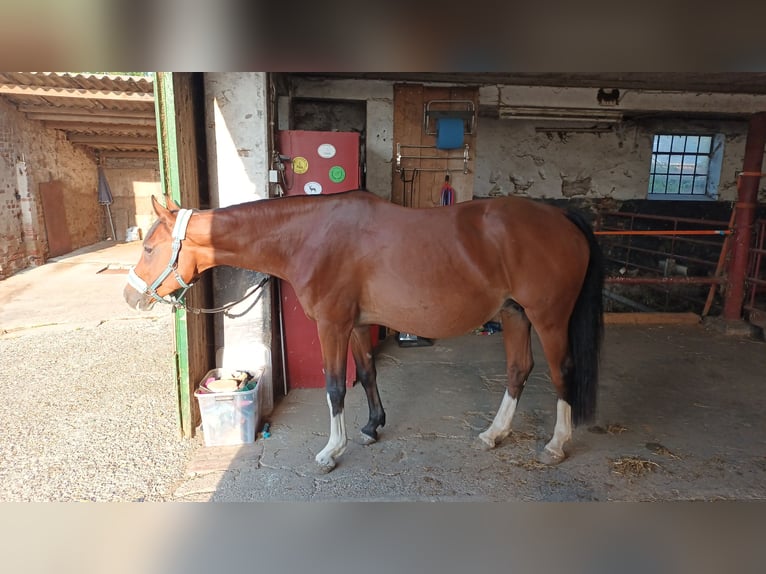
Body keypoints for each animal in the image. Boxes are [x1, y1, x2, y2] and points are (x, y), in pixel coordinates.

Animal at [124, 192, 608, 472]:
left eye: (148, 248)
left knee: (562, 372)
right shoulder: (356, 325)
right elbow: (369, 374)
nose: (131, 296)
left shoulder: (332, 326)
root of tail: (562, 216)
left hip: (548, 318)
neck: (311, 236)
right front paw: (372, 428)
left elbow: (336, 387)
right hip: (514, 314)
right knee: (518, 370)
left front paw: (331, 451)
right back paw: (494, 434)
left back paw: (556, 445)